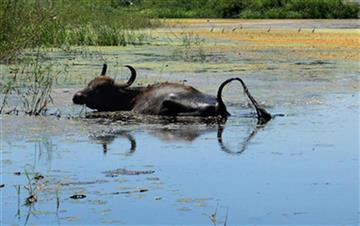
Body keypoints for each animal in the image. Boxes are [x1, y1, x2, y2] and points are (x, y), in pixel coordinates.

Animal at [71, 64, 272, 123]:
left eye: (100, 89)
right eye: (89, 83)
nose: (77, 96)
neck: (133, 97)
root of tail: (218, 102)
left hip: (171, 101)